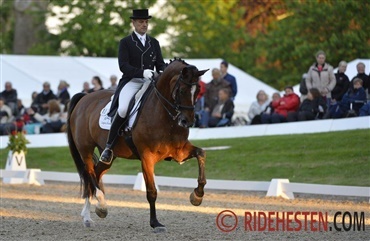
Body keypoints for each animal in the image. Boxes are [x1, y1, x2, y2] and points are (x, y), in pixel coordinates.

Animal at [66, 58, 208, 232]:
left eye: (198, 90)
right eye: (181, 90)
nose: (188, 121)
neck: (163, 114)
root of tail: (84, 97)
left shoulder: (179, 152)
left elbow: (201, 154)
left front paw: (197, 196)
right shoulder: (147, 157)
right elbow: (151, 191)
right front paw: (155, 223)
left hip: (109, 156)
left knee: (96, 174)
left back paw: (93, 212)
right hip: (85, 149)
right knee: (90, 173)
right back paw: (97, 209)